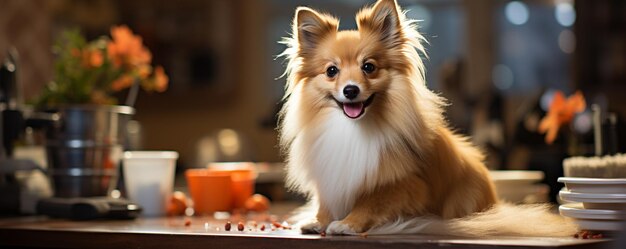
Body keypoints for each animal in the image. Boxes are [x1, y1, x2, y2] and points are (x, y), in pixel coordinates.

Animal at [278, 0, 576, 236]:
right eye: (331, 71)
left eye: (369, 67)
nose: (350, 90)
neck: (352, 128)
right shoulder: (328, 174)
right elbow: (325, 199)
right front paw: (319, 220)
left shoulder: (401, 185)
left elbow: (371, 202)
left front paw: (347, 223)